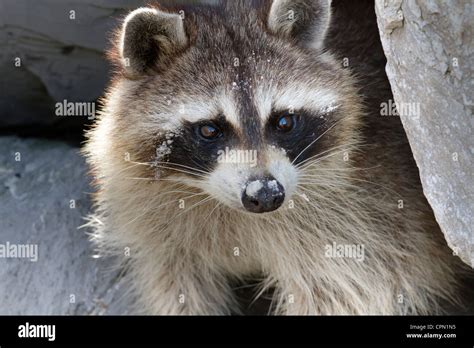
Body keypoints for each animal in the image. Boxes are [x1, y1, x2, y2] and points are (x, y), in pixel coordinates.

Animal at [83, 0, 468, 316]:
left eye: (284, 122)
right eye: (209, 130)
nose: (266, 194)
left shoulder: (368, 220)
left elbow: (352, 292)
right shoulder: (163, 243)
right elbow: (179, 293)